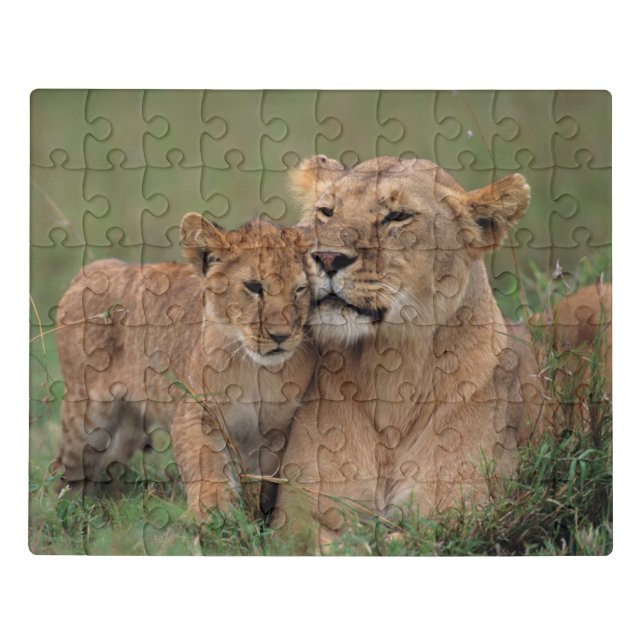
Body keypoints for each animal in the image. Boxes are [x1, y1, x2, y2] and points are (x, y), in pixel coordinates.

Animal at [55, 213, 316, 517]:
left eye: (300, 289)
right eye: (254, 287)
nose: (281, 336)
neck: (256, 370)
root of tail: (94, 268)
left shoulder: (274, 432)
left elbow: (260, 482)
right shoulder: (196, 413)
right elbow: (205, 463)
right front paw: (213, 512)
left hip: (126, 431)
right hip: (87, 416)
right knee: (65, 465)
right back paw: (65, 506)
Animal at [271, 155, 542, 549]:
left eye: (397, 216)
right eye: (327, 212)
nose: (327, 257)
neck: (393, 370)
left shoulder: (463, 512)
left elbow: (390, 543)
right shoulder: (295, 513)